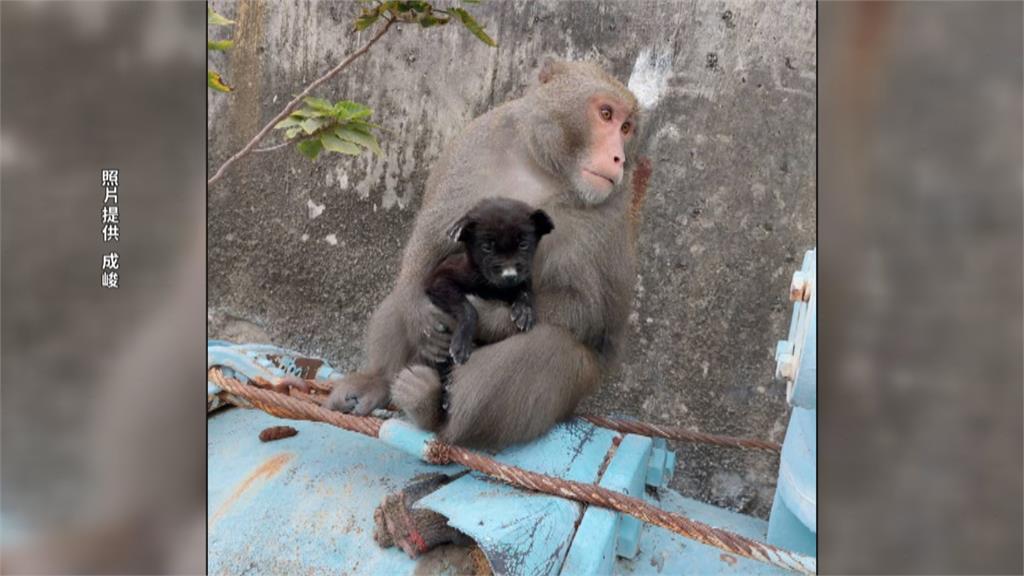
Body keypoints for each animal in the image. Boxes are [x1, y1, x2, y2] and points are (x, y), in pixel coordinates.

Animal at [423, 195, 552, 362]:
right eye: (487, 247)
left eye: (523, 244)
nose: (509, 276)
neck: (490, 287)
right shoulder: (439, 280)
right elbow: (468, 309)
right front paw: (462, 343)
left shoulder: (521, 279)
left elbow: (525, 288)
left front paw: (525, 310)